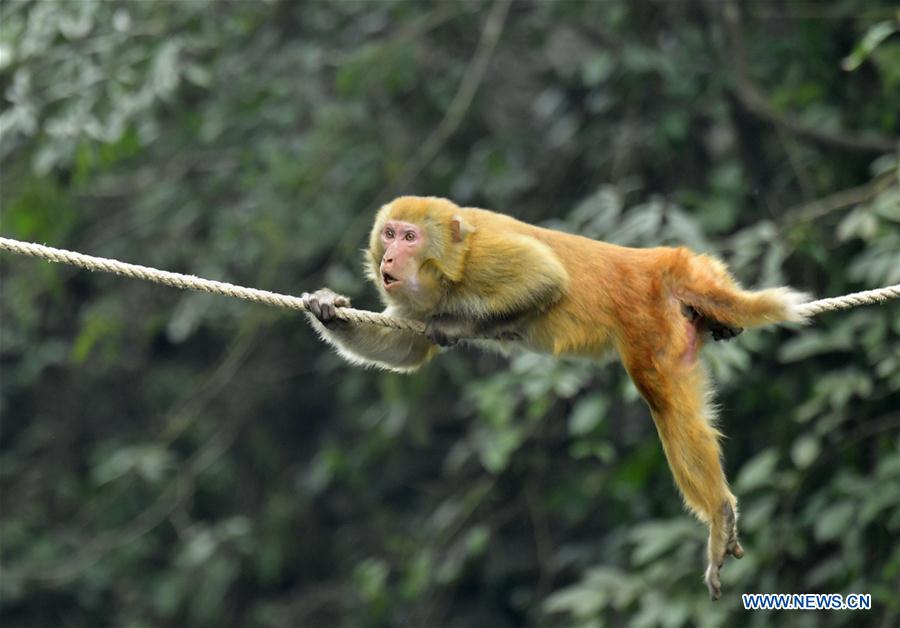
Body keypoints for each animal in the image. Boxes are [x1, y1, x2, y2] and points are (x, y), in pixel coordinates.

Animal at [300, 196, 808, 600]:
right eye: (388, 234)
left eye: (410, 236)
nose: (389, 255)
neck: (448, 267)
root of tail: (655, 262)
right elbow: (408, 351)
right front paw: (329, 310)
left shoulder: (484, 259)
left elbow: (545, 279)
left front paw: (457, 325)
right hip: (697, 282)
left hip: (649, 322)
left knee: (663, 398)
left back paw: (718, 512)